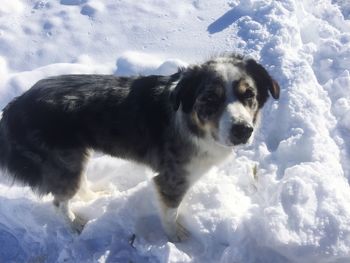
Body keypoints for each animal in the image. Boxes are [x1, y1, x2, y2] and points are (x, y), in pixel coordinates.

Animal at [0, 54, 278, 243]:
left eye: (249, 95)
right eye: (209, 98)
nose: (243, 130)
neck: (192, 124)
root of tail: (15, 105)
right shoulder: (171, 179)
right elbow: (170, 214)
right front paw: (175, 236)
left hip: (73, 157)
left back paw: (93, 197)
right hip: (63, 161)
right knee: (59, 201)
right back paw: (75, 224)